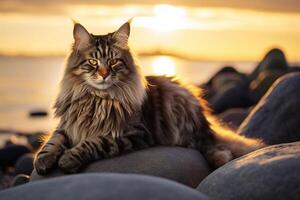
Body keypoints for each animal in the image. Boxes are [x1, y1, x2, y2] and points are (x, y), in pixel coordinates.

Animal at [33, 19, 264, 174]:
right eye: (92, 62)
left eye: (114, 61)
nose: (104, 74)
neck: (97, 99)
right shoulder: (68, 123)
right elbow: (52, 141)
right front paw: (43, 160)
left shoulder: (133, 132)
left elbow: (94, 142)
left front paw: (69, 159)